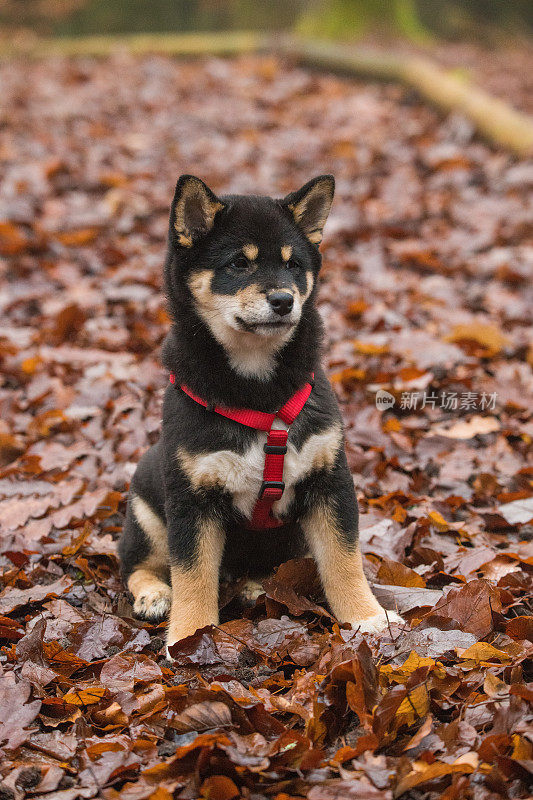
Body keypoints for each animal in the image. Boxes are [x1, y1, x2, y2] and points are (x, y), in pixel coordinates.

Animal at [118, 175, 402, 648]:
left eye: (293, 265)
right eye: (238, 264)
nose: (284, 300)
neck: (260, 393)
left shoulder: (330, 480)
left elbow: (344, 560)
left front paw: (367, 616)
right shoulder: (192, 499)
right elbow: (192, 574)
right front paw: (189, 634)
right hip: (145, 507)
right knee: (136, 565)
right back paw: (156, 595)